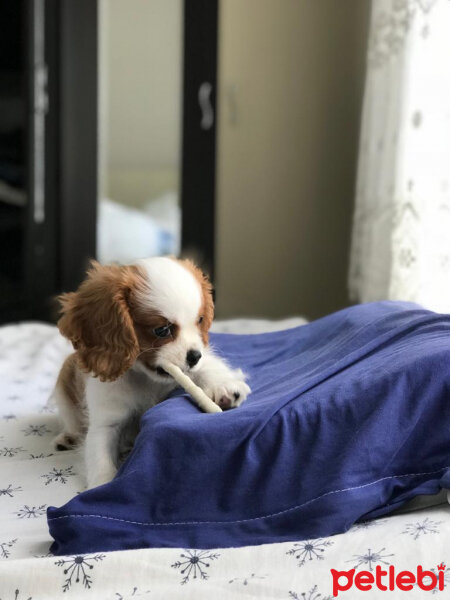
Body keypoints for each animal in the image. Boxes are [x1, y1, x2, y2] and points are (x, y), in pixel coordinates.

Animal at [51, 256, 251, 488]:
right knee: (72, 422)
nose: (194, 356)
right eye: (162, 330)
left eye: (200, 321)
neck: (147, 378)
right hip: (63, 386)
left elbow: (206, 368)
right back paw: (67, 438)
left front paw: (223, 387)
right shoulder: (105, 422)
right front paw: (103, 486)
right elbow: (100, 455)